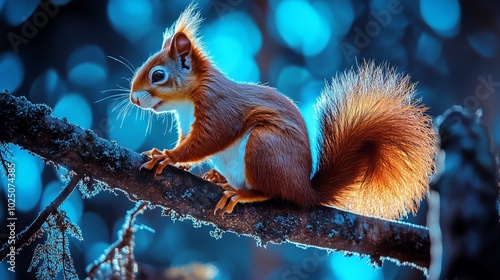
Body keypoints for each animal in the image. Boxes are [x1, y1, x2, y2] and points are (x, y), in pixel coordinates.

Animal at [130, 4, 438, 219]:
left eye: (158, 75)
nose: (133, 99)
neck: (186, 103)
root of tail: (304, 190)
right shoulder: (186, 125)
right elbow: (190, 143)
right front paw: (176, 160)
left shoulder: (219, 109)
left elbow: (208, 141)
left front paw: (168, 157)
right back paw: (219, 177)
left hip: (264, 146)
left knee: (271, 193)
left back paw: (242, 194)